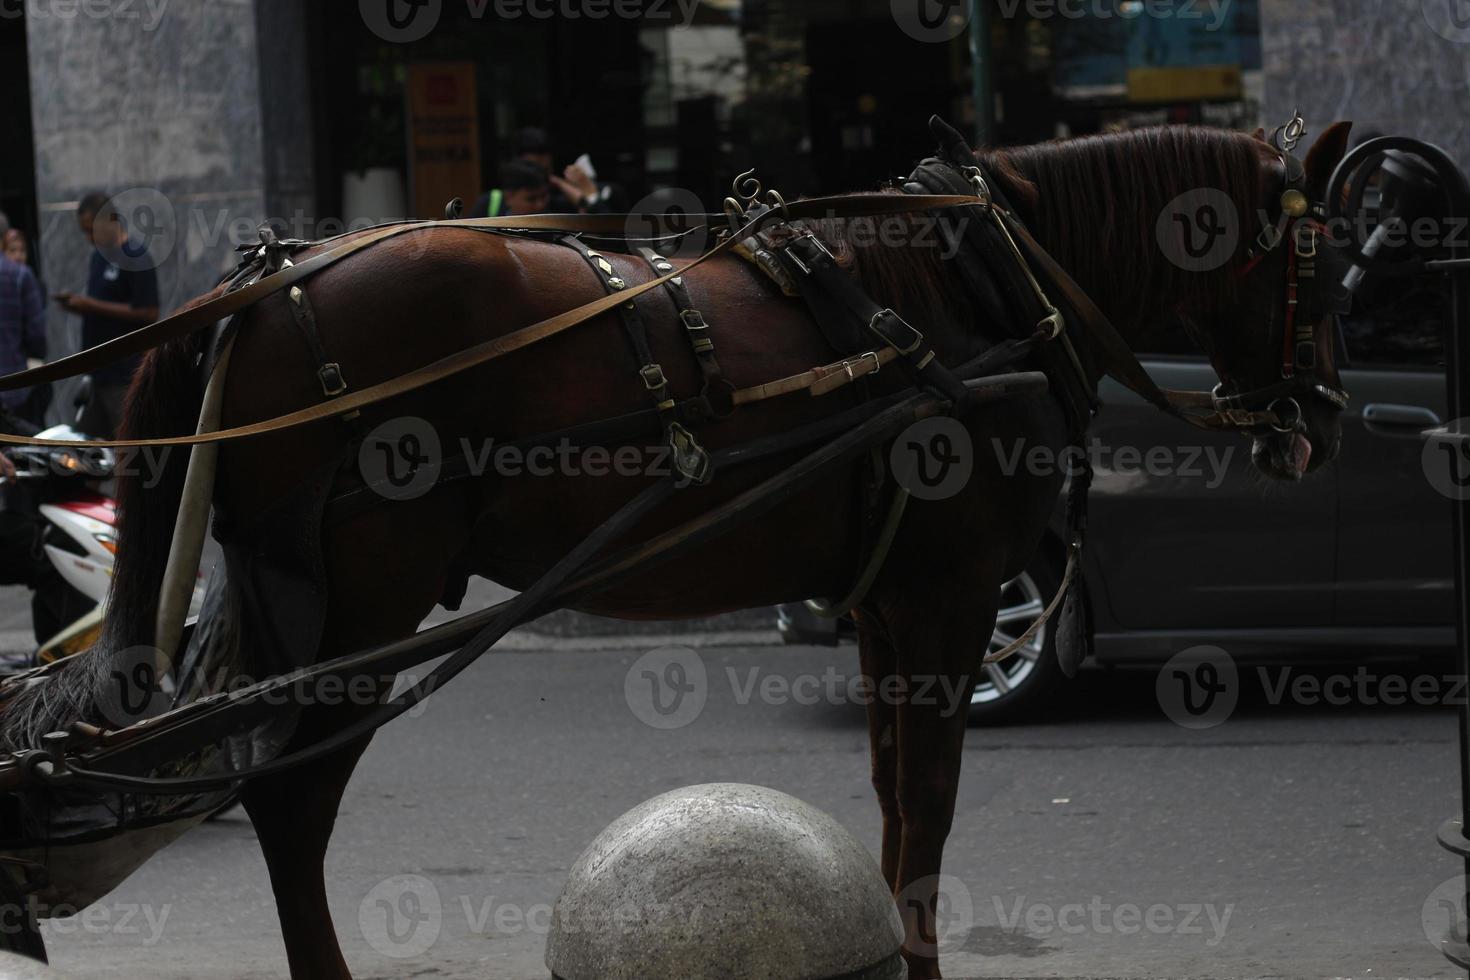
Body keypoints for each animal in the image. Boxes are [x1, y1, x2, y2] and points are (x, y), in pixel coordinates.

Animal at [2, 119, 1352, 975]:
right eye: (1325, 261)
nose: (1323, 421)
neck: (985, 290)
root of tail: (236, 297)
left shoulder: (886, 607)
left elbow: (888, 815)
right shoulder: (951, 597)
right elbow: (926, 822)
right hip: (362, 607)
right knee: (287, 801)